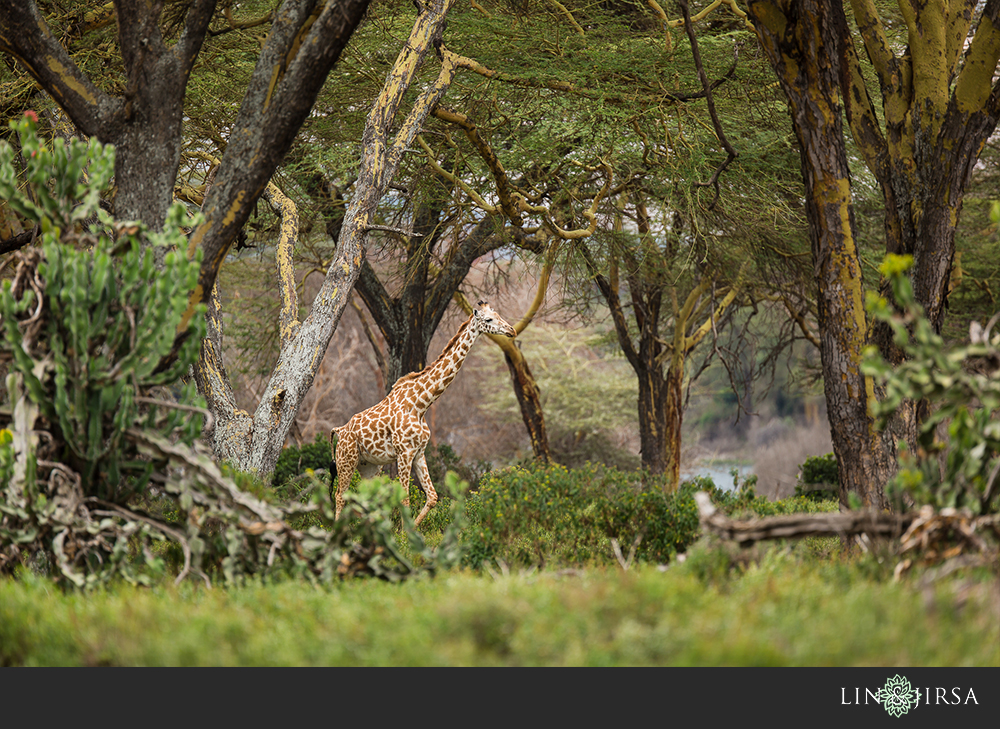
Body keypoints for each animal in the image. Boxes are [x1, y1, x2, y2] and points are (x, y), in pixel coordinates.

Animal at [330, 300, 516, 524]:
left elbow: (433, 496)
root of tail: (339, 431)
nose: (512, 330)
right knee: (340, 495)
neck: (421, 405)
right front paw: (404, 533)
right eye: (488, 319)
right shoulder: (404, 452)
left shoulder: (419, 452)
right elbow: (404, 499)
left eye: (498, 315)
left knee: (363, 497)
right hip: (346, 460)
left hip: (370, 465)